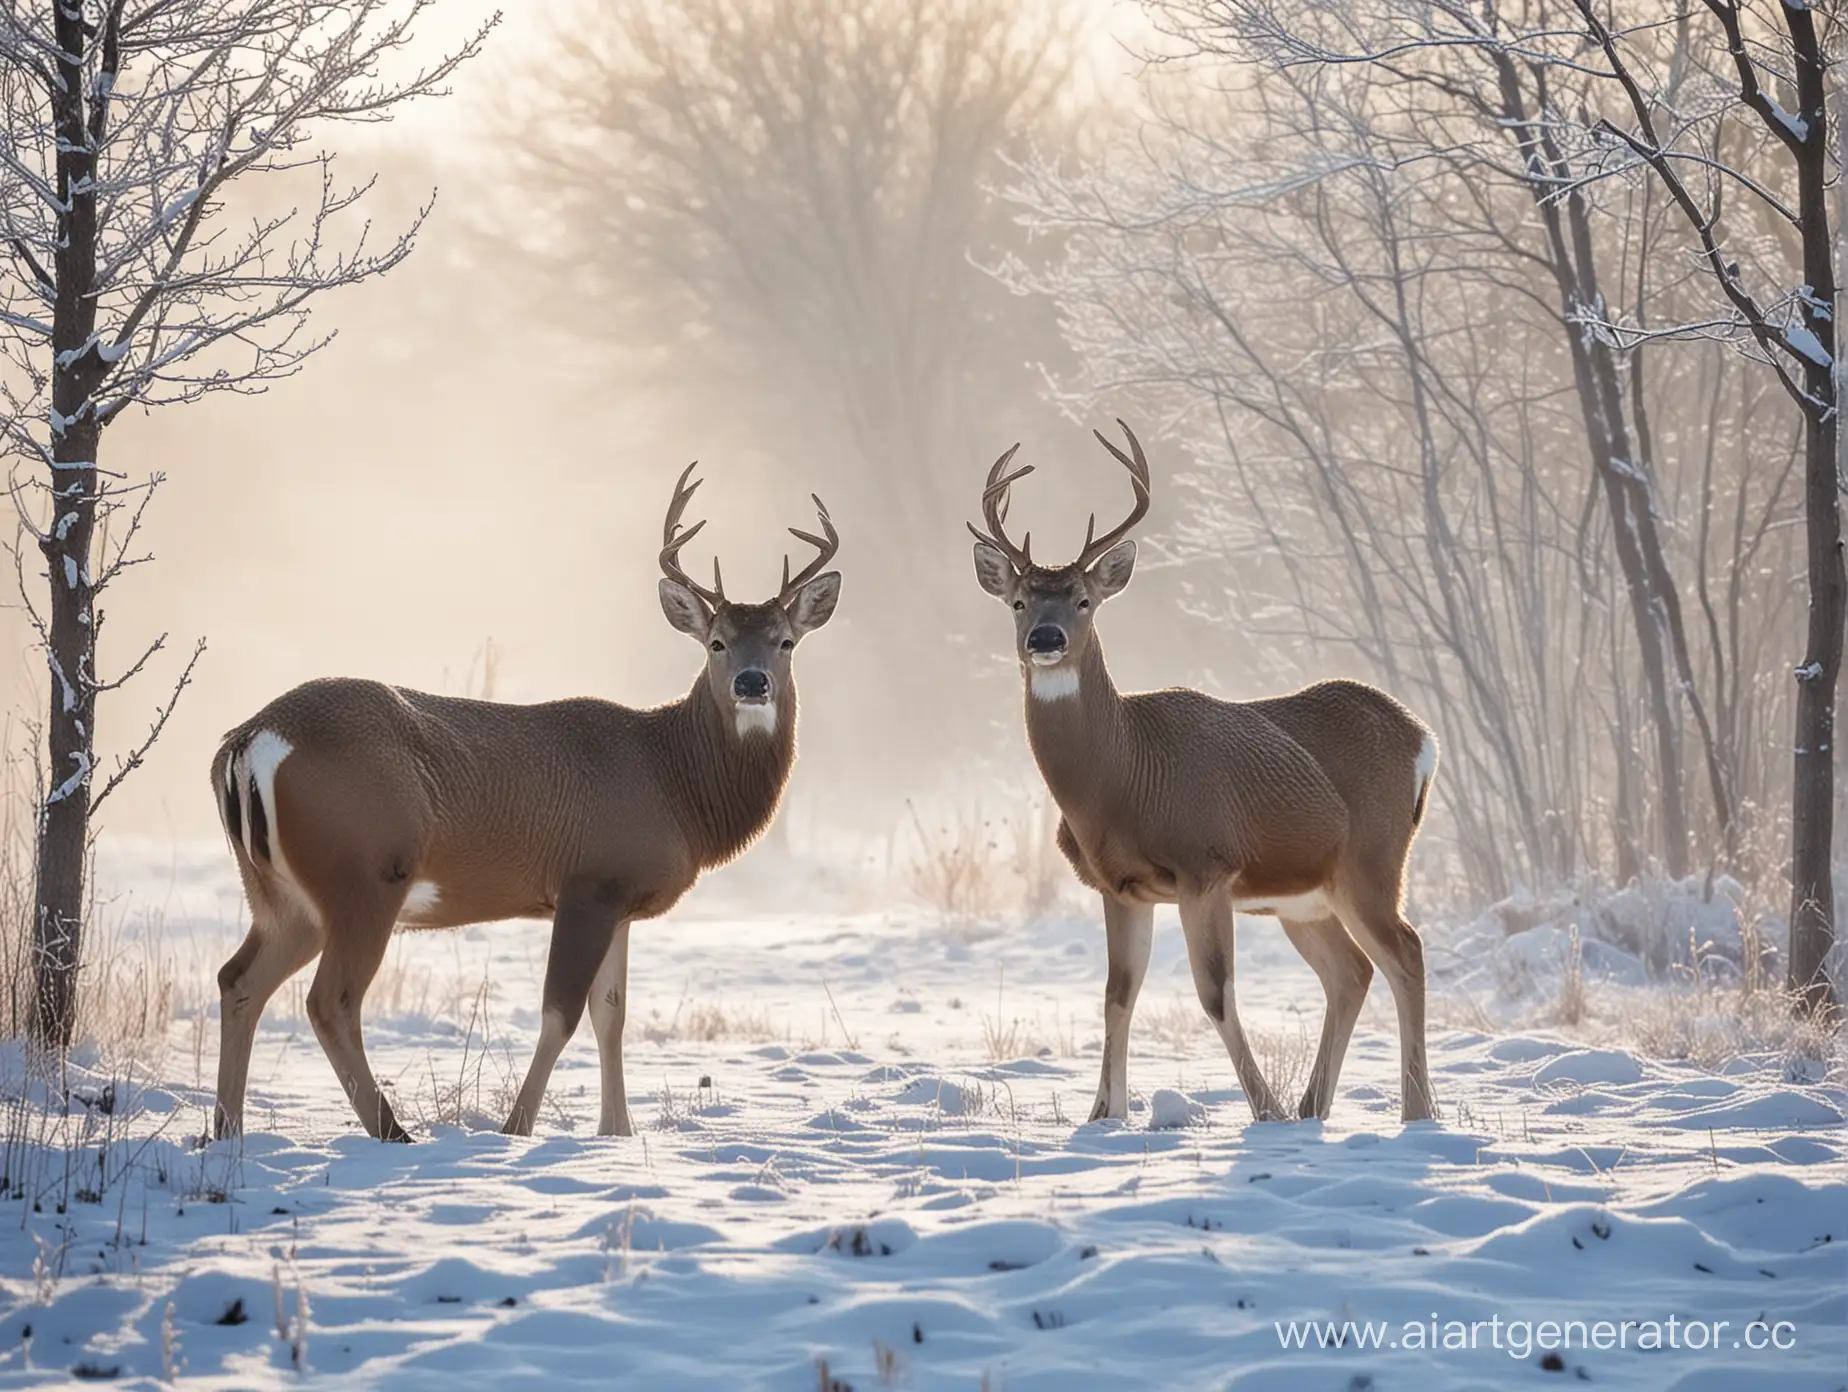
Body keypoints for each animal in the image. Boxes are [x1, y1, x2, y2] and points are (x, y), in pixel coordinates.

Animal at [211, 467, 846, 1138]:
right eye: (717, 642)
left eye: (786, 642)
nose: (753, 683)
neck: (672, 781)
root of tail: (248, 739)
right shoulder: (588, 882)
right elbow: (560, 1014)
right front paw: (517, 1128)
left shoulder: (620, 899)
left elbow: (611, 1013)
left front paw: (617, 1132)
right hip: (363, 872)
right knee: (330, 1000)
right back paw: (393, 1134)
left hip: (283, 895)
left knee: (239, 980)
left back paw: (226, 1131)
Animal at [968, 421, 1441, 1116]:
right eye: (1019, 601)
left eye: (1083, 600)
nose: (1045, 639)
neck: (1121, 776)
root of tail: (1423, 737)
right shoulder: (1120, 887)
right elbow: (1117, 997)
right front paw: (1103, 1115)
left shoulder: (1206, 865)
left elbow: (1214, 994)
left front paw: (1263, 1110)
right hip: (1307, 895)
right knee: (1350, 972)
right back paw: (1315, 1107)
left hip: (1373, 861)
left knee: (1405, 953)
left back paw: (1414, 1112)